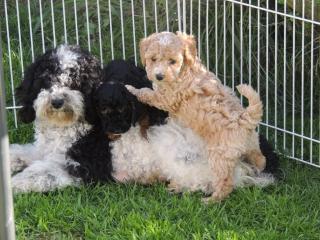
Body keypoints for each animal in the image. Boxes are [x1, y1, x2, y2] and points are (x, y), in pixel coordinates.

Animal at [9, 44, 102, 192]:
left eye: (75, 83)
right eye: (47, 80)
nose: (57, 102)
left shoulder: (80, 166)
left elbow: (41, 172)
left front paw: (12, 183)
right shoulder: (45, 149)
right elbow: (25, 151)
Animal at [127, 31, 264, 202]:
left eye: (172, 61)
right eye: (153, 59)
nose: (159, 76)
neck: (184, 69)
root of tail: (244, 118)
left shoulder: (166, 99)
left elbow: (147, 93)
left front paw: (131, 89)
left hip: (219, 155)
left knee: (225, 182)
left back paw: (211, 200)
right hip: (251, 142)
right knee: (259, 157)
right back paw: (259, 167)